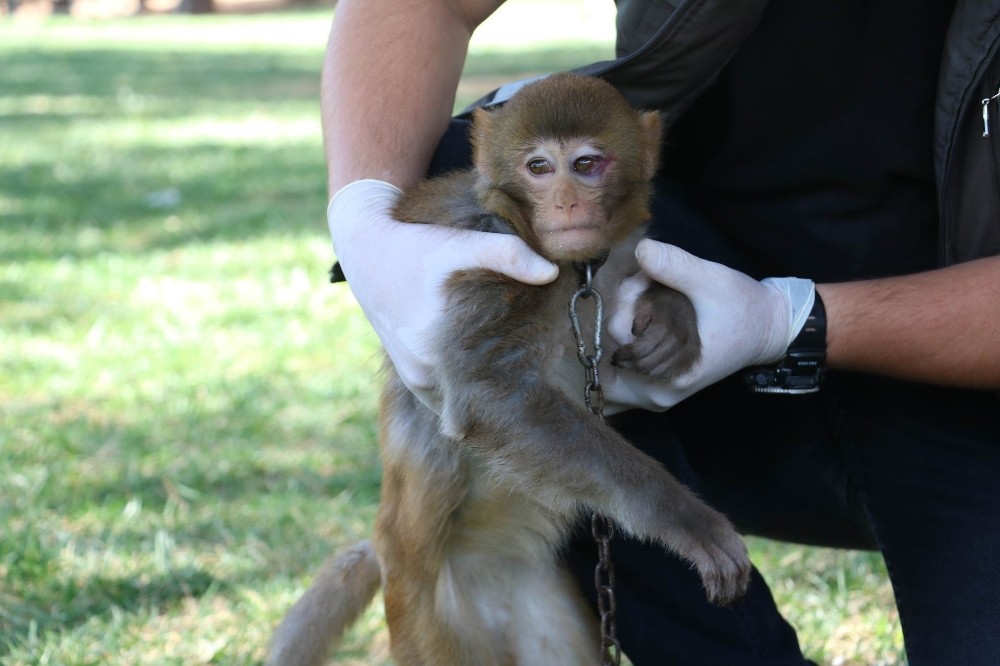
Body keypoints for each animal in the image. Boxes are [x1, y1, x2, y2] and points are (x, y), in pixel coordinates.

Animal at [266, 72, 752, 664]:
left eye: (587, 164)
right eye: (538, 167)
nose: (567, 203)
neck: (576, 271)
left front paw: (671, 316)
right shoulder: (495, 257)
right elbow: (487, 392)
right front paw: (686, 520)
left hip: (540, 606)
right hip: (429, 621)